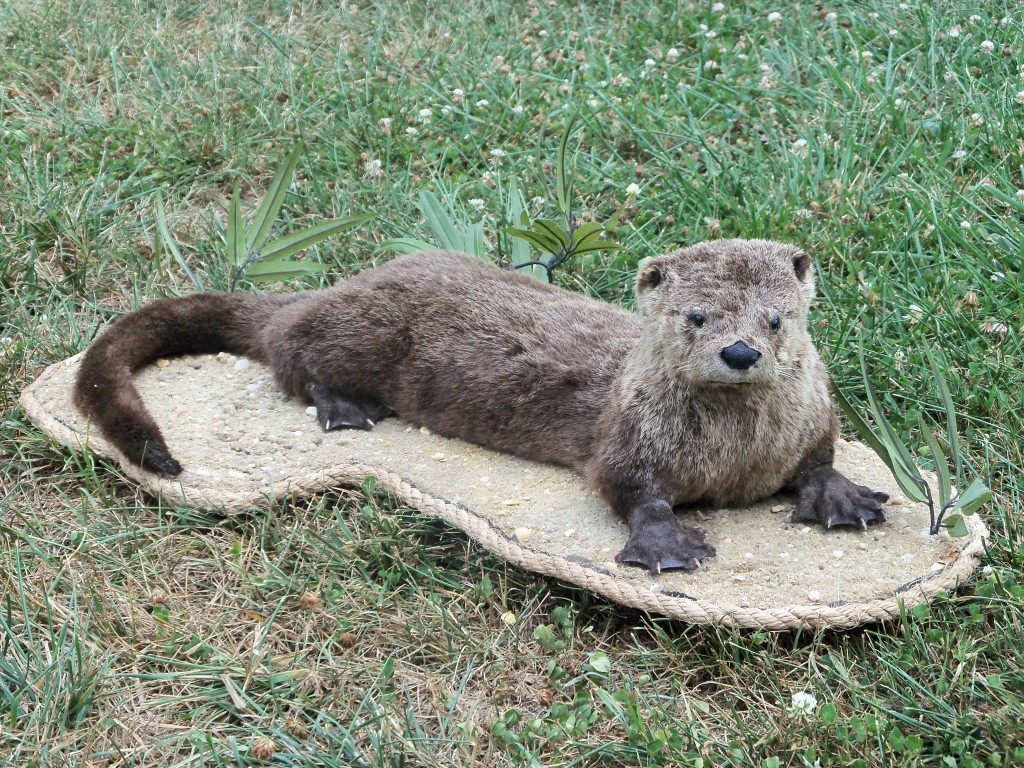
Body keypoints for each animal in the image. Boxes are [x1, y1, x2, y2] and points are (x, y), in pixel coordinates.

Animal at [74, 240, 888, 573]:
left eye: (776, 319)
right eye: (697, 317)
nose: (741, 352)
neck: (735, 457)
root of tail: (336, 285)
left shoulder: (812, 425)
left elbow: (820, 459)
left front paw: (844, 496)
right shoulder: (628, 436)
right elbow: (630, 489)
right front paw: (668, 543)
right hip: (354, 330)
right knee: (289, 353)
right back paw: (345, 406)